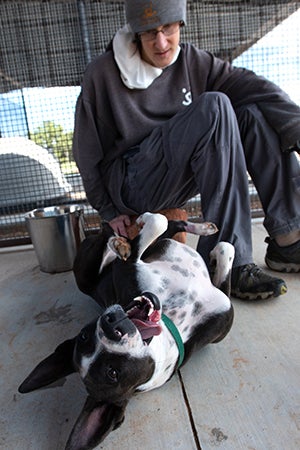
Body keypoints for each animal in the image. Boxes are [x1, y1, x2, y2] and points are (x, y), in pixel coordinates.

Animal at [18, 212, 236, 450]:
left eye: (84, 336)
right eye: (113, 373)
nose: (111, 326)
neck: (173, 319)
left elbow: (221, 245)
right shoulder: (129, 266)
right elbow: (159, 225)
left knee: (166, 226)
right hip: (85, 273)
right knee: (112, 232)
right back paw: (118, 239)